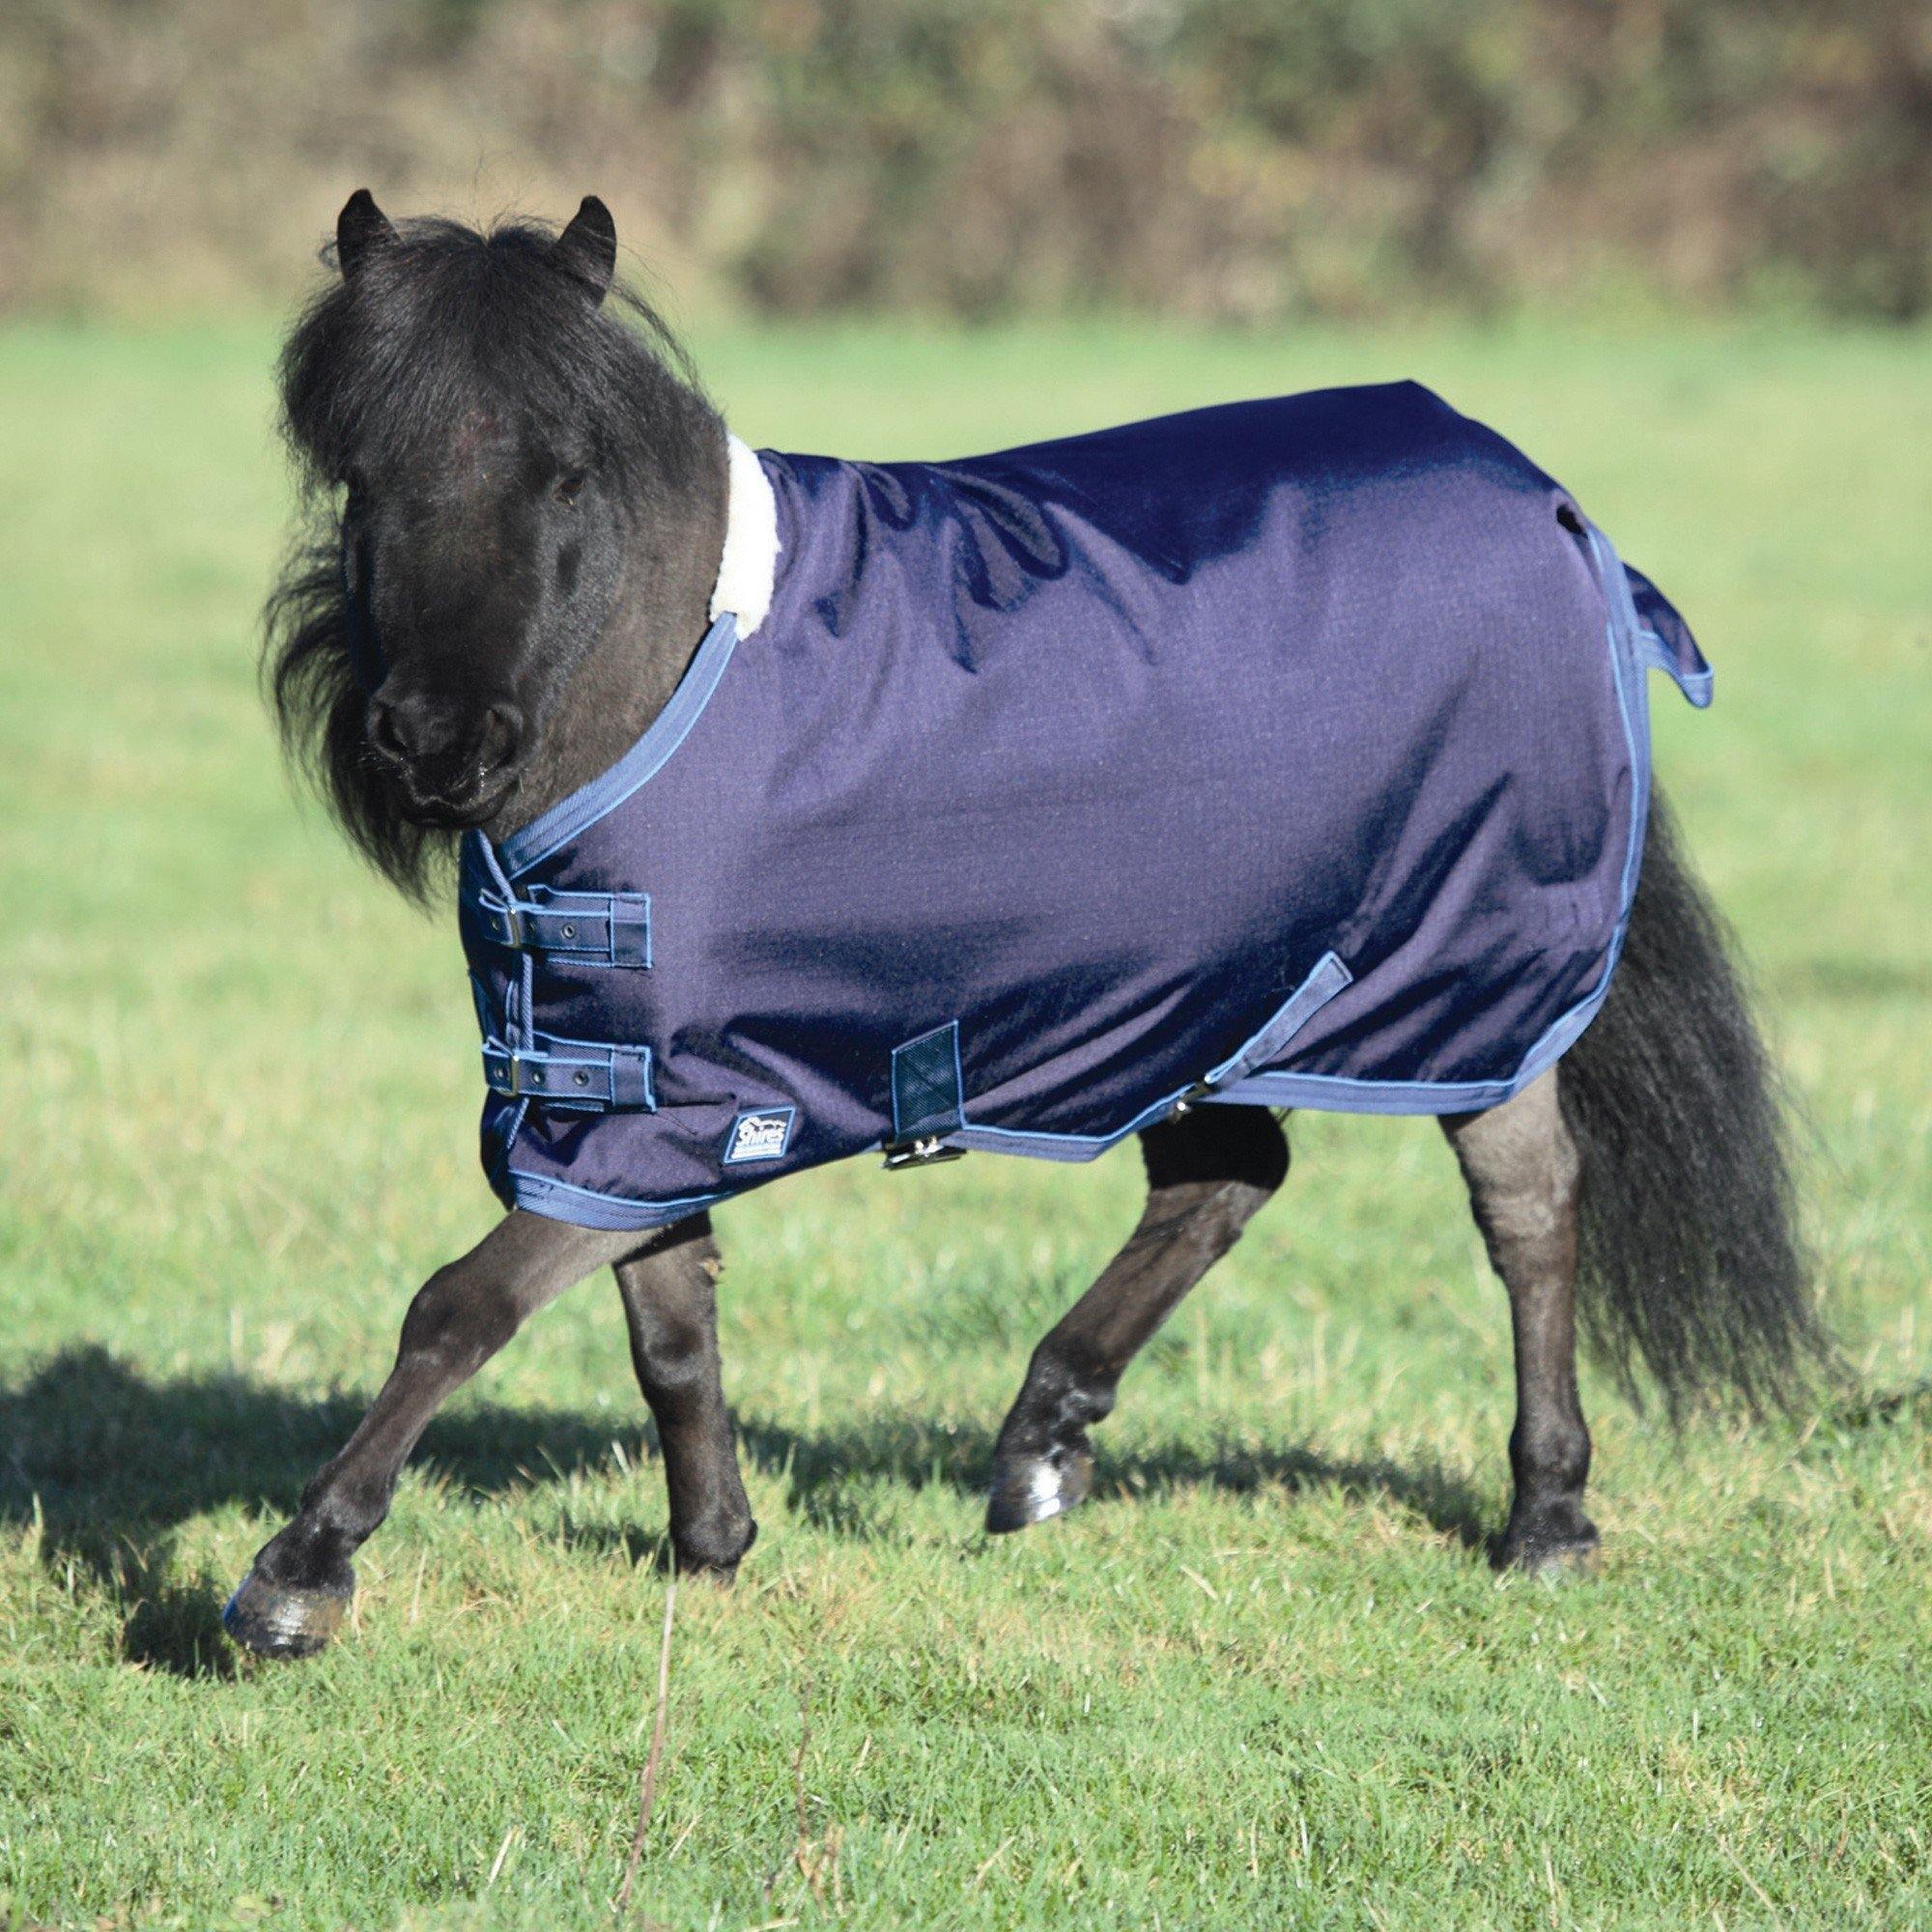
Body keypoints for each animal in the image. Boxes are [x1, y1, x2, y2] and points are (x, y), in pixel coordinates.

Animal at [225, 192, 1823, 1659]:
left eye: (565, 476)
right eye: (362, 475)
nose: (436, 744)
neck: (683, 664)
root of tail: (1557, 511)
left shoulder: (658, 1104)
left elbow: (461, 1308)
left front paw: (298, 1572)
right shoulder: (620, 1087)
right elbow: (666, 1327)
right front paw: (711, 1551)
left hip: (1464, 978)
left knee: (1530, 1211)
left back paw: (1546, 1516)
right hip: (1213, 985)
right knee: (1229, 1179)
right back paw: (1042, 1441)